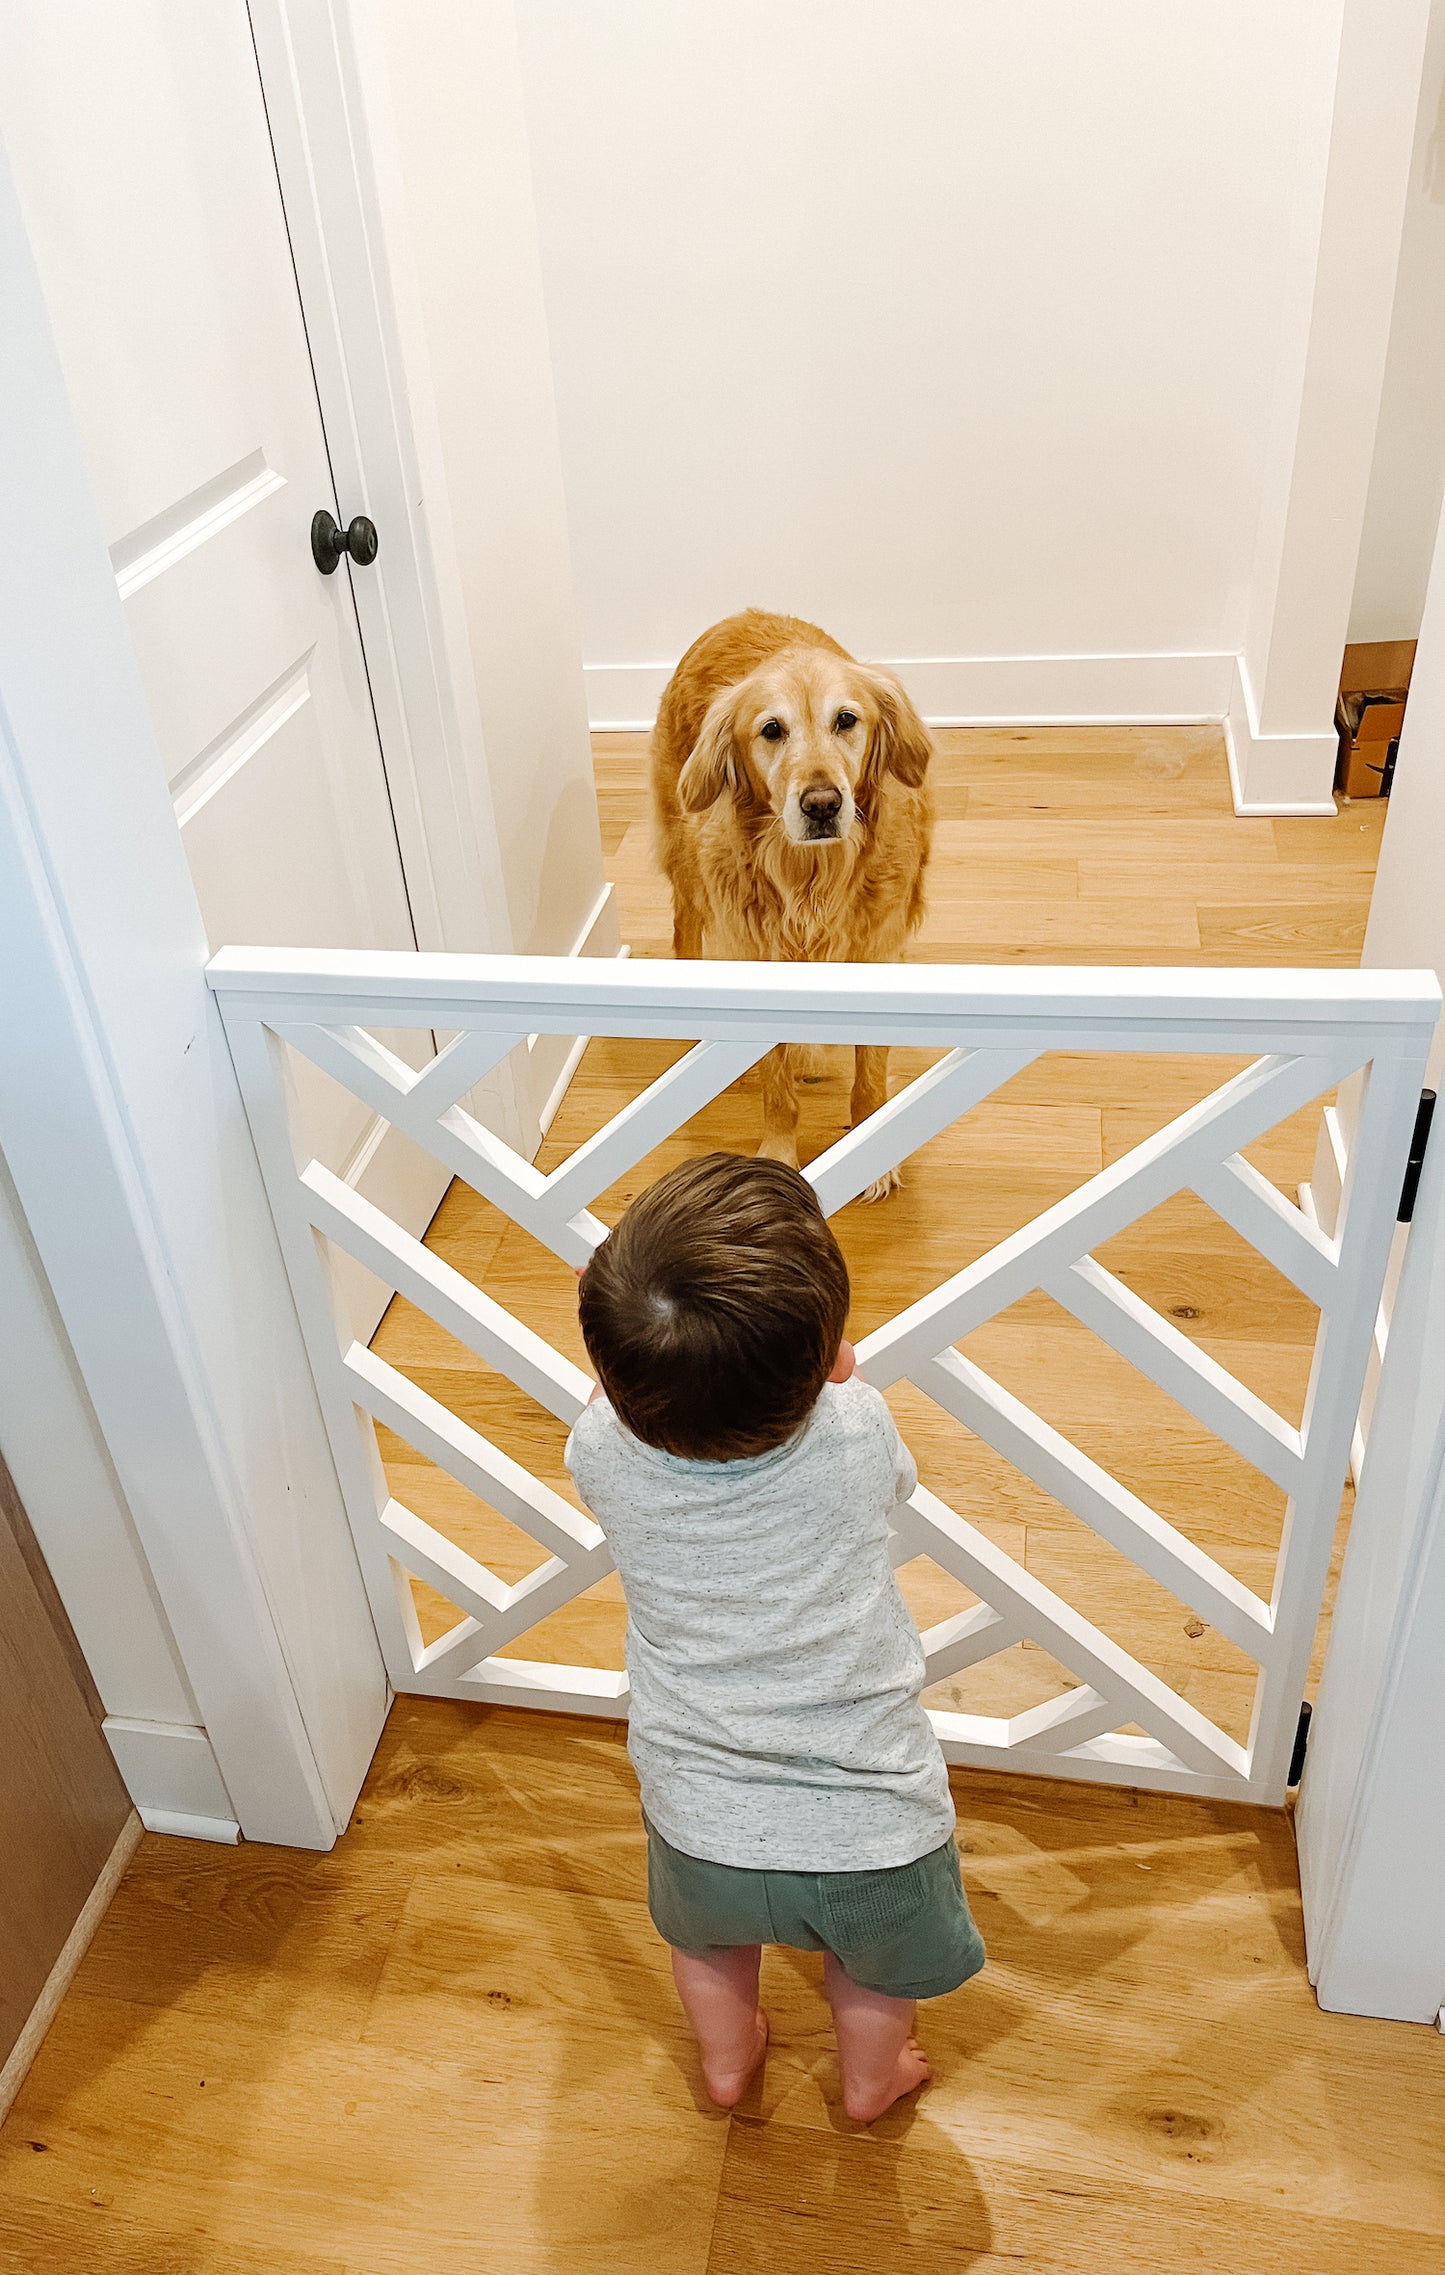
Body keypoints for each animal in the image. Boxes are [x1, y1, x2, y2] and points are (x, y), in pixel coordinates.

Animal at [650, 614, 932, 1201]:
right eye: (772, 730)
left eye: (846, 719)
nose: (822, 804)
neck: (812, 879)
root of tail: (739, 614)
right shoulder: (762, 961)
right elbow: (776, 1086)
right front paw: (779, 1153)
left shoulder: (876, 954)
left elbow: (871, 1076)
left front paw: (871, 1154)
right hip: (685, 852)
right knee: (685, 923)